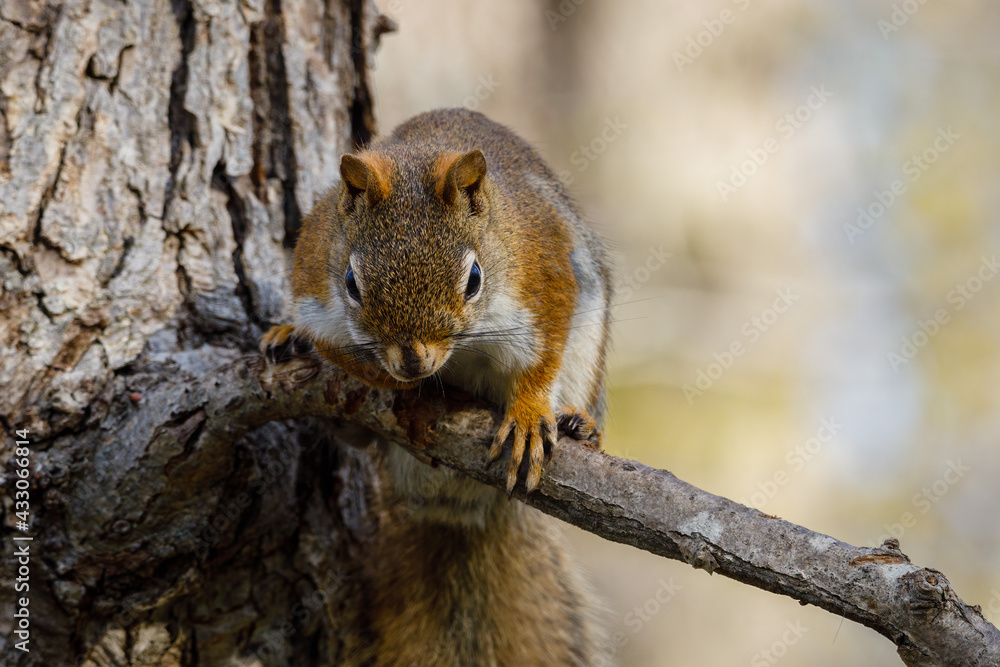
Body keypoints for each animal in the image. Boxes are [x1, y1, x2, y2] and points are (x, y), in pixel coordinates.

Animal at [262, 108, 614, 666]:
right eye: (351, 283)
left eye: (474, 279)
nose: (412, 362)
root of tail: (459, 512)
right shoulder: (314, 280)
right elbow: (337, 348)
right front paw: (310, 342)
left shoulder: (546, 273)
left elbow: (542, 358)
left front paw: (529, 414)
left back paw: (581, 426)